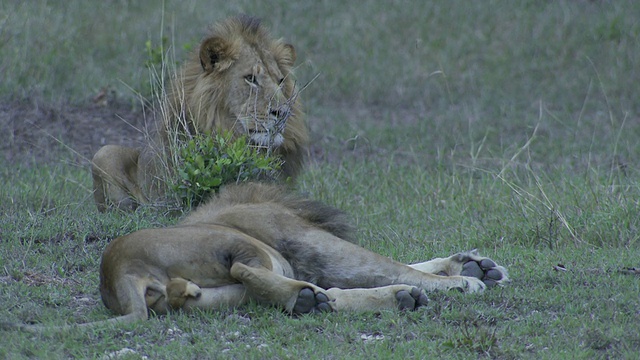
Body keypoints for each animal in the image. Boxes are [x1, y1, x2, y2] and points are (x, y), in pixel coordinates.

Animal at [2, 183, 508, 332]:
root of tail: (117, 272)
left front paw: (470, 264)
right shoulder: (308, 242)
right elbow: (383, 262)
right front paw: (463, 278)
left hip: (221, 295)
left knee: (305, 292)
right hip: (252, 251)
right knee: (252, 270)